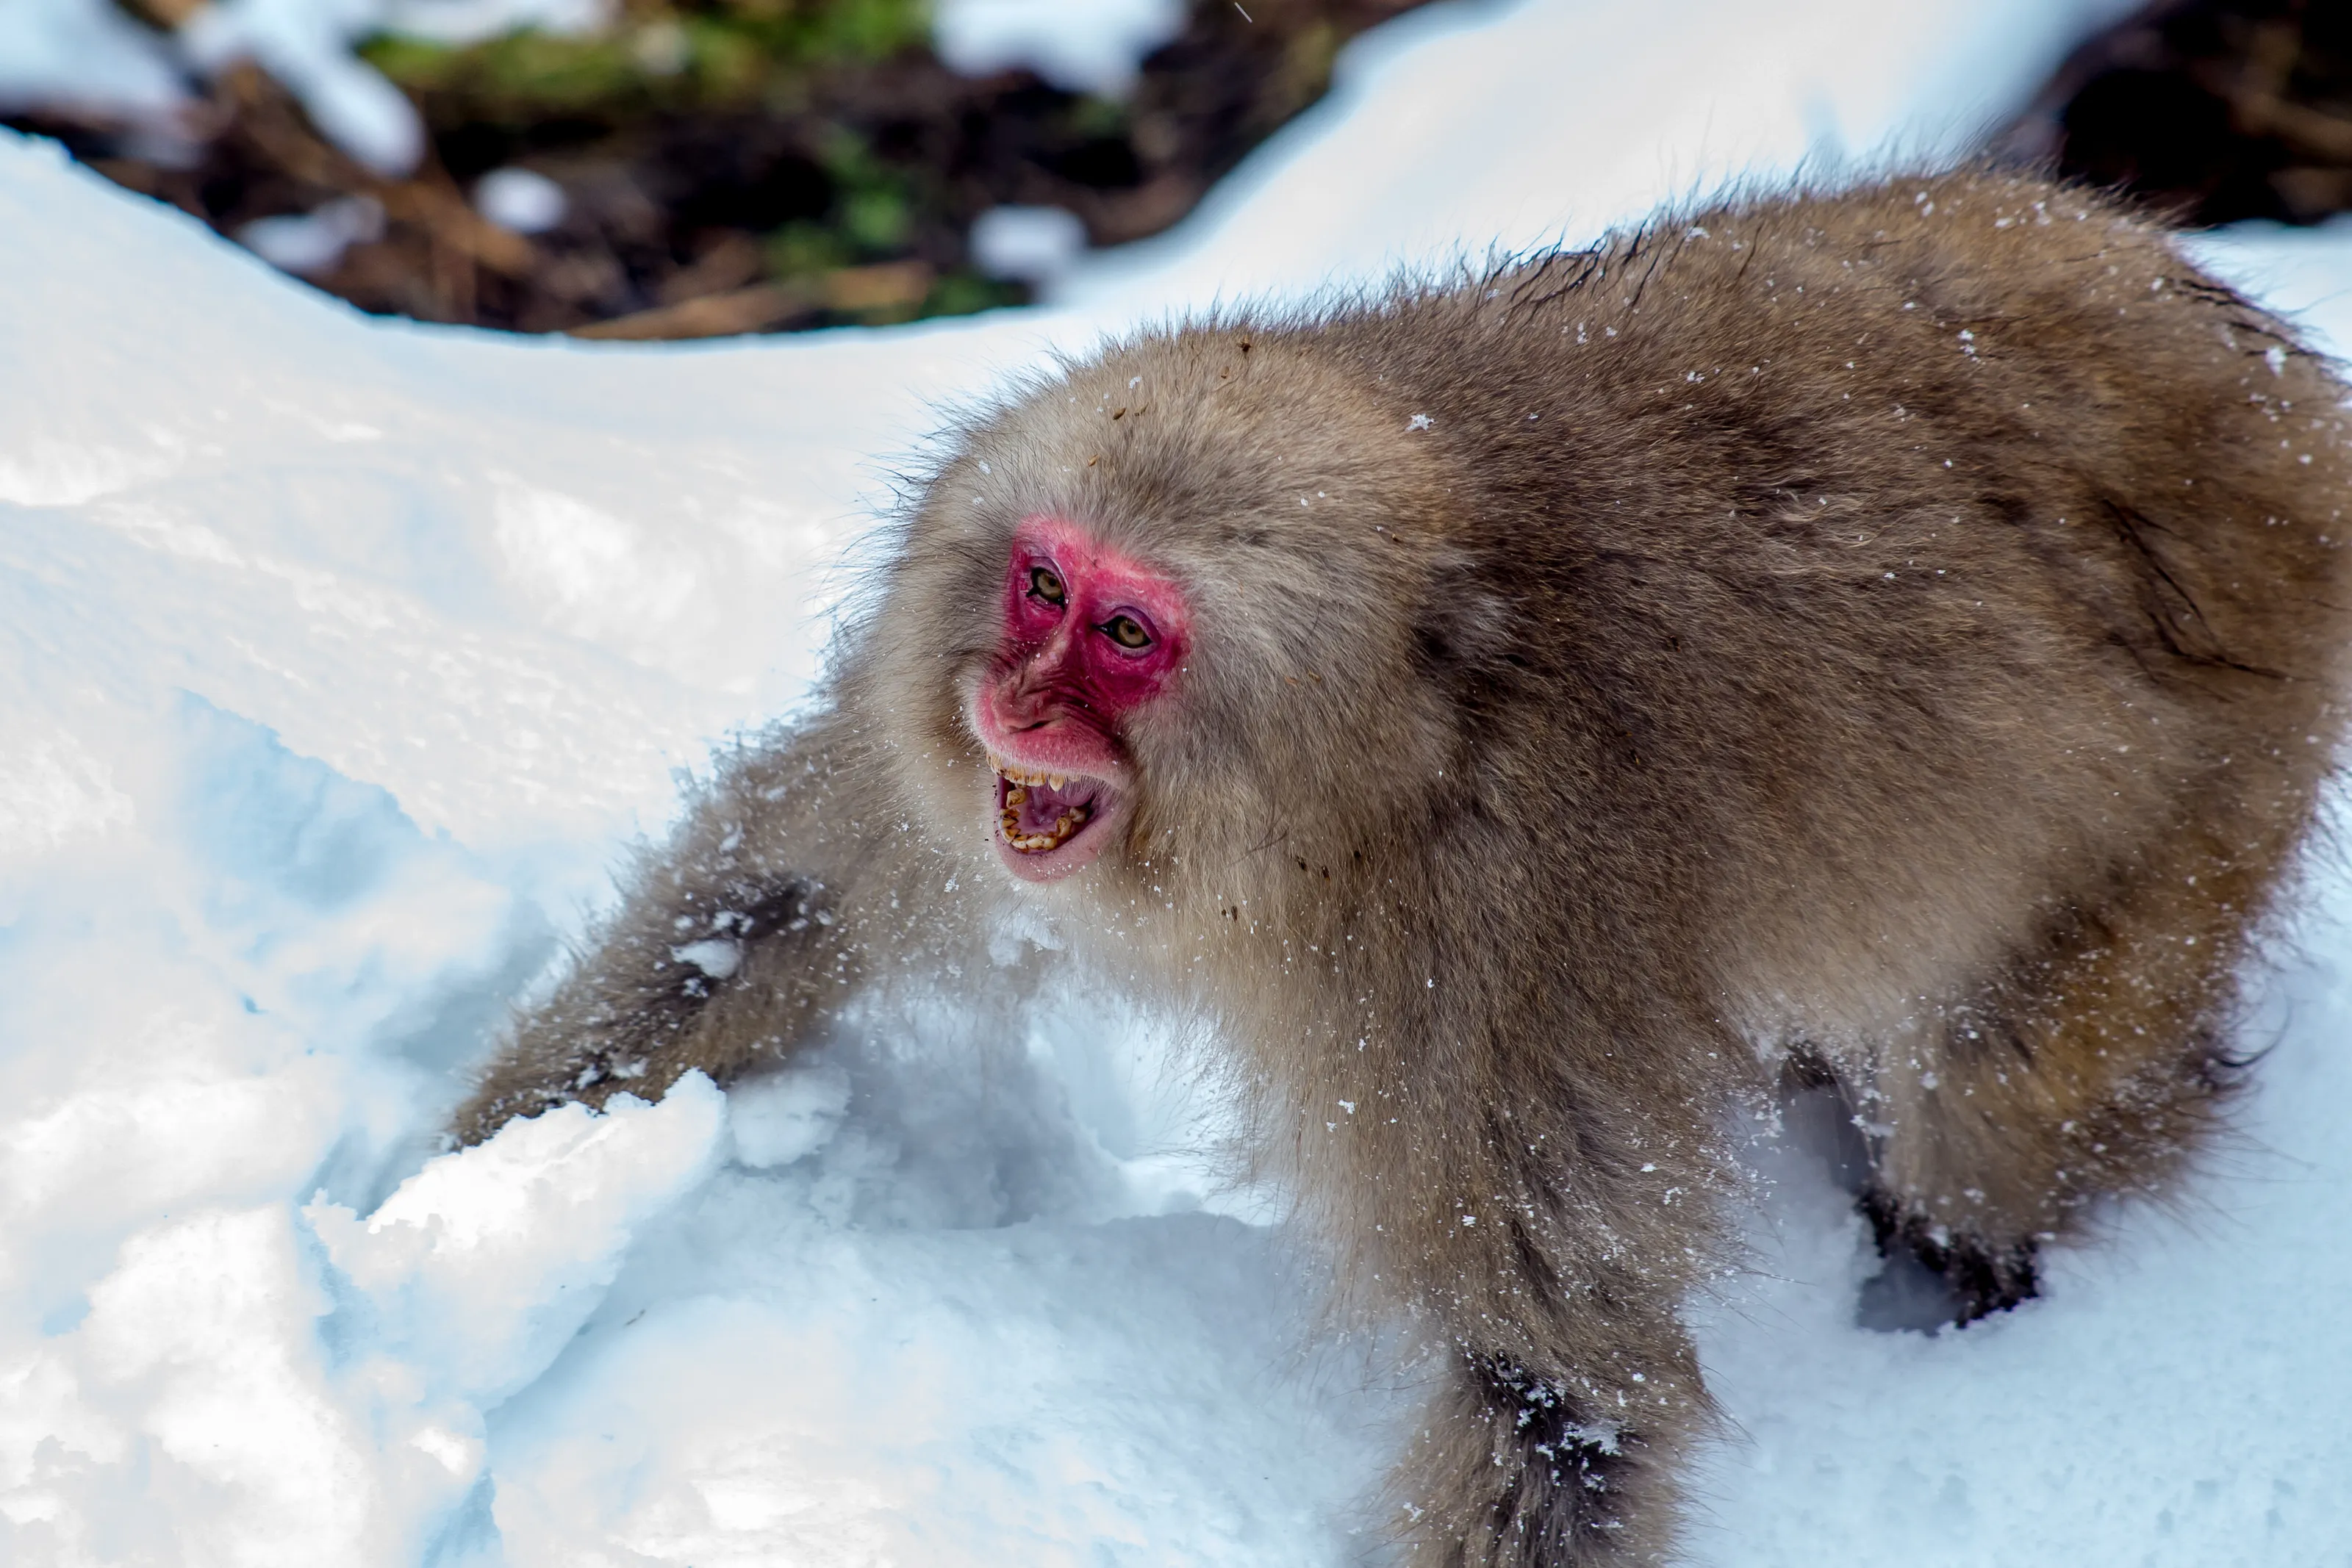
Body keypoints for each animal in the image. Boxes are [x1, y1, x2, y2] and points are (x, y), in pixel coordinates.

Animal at [453, 167, 2352, 1564]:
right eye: (1043, 584)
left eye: (1129, 634)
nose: (1015, 696)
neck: (1374, 775)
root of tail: (2276, 376)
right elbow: (786, 897)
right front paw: (477, 1183)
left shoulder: (1491, 964)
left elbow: (1560, 1383)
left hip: (2220, 784)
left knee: (1992, 1096)